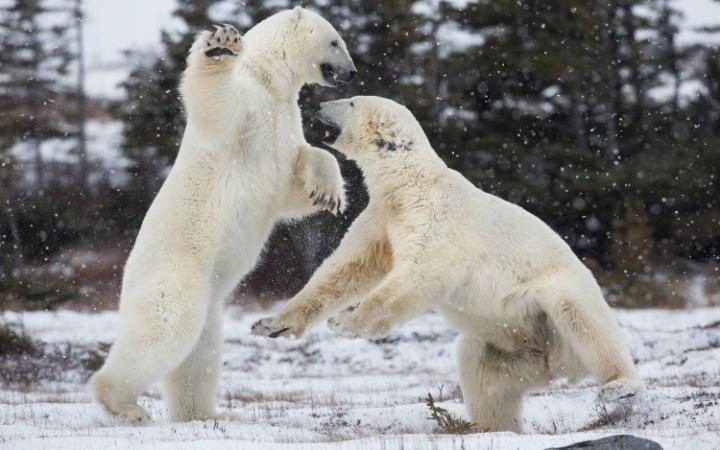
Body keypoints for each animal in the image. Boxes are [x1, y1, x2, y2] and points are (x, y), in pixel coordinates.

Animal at [90, 6, 358, 422]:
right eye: (335, 41)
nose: (352, 72)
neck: (270, 79)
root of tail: (126, 276)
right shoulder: (249, 108)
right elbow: (218, 110)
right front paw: (220, 46)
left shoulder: (284, 118)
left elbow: (295, 179)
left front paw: (327, 193)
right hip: (175, 277)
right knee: (164, 331)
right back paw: (125, 405)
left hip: (209, 306)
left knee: (198, 354)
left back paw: (206, 413)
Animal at [250, 96, 644, 432]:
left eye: (350, 102)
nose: (317, 104)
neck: (408, 184)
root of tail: (557, 364)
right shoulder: (382, 216)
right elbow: (347, 268)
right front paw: (271, 324)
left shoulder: (435, 216)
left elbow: (419, 272)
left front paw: (346, 322)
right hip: (510, 347)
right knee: (482, 374)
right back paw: (492, 428)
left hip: (557, 295)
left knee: (583, 318)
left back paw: (619, 385)